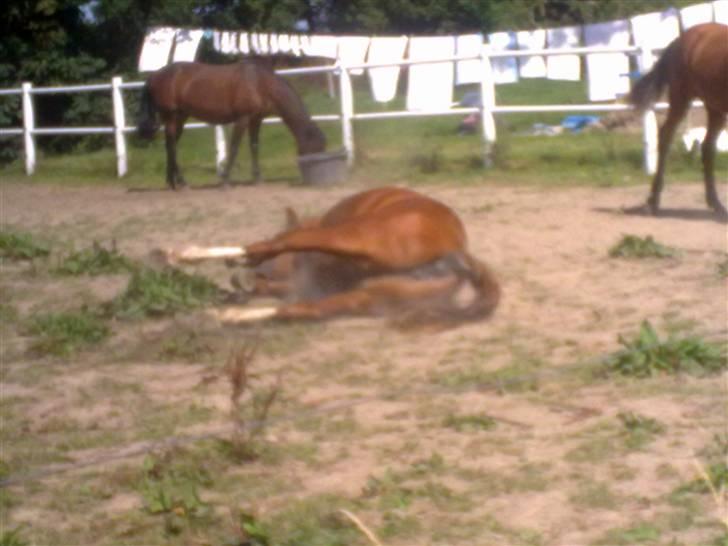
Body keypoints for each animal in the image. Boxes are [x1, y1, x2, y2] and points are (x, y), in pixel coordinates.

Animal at [137, 59, 326, 190]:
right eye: (315, 148)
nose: (310, 176)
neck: (259, 83)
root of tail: (155, 75)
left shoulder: (256, 119)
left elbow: (254, 146)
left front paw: (257, 179)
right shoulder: (242, 119)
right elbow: (234, 147)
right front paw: (226, 181)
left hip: (180, 118)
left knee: (170, 146)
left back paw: (173, 182)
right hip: (171, 116)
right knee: (172, 146)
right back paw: (182, 183)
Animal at [162, 187, 501, 326]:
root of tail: (456, 254)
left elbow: (278, 249)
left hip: (356, 239)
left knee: (286, 243)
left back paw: (184, 255)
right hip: (369, 296)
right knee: (300, 310)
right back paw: (228, 316)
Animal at [628, 23, 728, 220]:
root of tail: (682, 38)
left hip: (715, 108)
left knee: (707, 147)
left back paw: (716, 204)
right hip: (681, 98)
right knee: (666, 136)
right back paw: (652, 203)